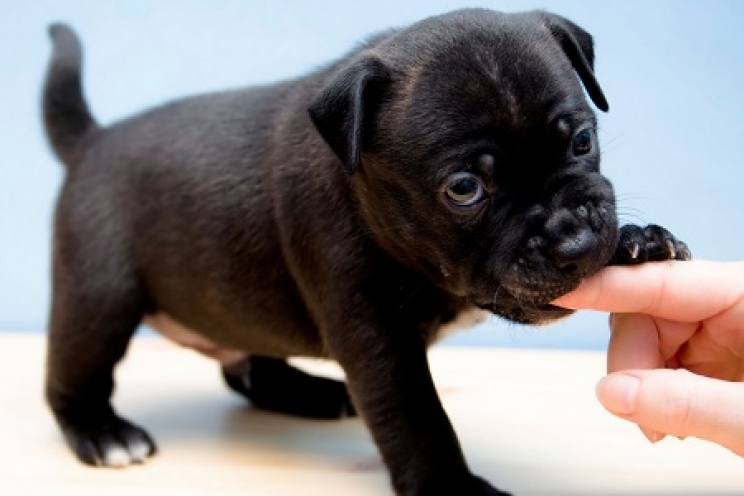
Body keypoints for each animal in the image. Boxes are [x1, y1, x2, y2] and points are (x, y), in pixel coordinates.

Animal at [43, 8, 688, 496]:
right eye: (464, 188)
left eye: (581, 141)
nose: (573, 242)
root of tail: (92, 140)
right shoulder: (377, 336)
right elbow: (415, 415)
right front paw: (454, 490)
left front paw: (637, 243)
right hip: (99, 300)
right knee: (73, 374)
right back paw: (102, 432)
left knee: (249, 364)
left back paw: (314, 392)